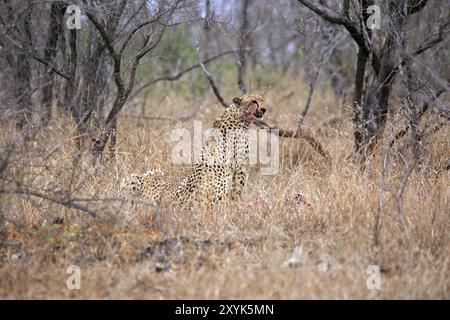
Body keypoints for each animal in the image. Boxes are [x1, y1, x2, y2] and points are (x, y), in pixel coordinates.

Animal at [118, 93, 268, 208]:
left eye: (262, 99)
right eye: (254, 101)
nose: (264, 109)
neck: (238, 114)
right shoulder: (240, 168)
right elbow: (237, 191)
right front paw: (237, 207)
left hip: (151, 173)